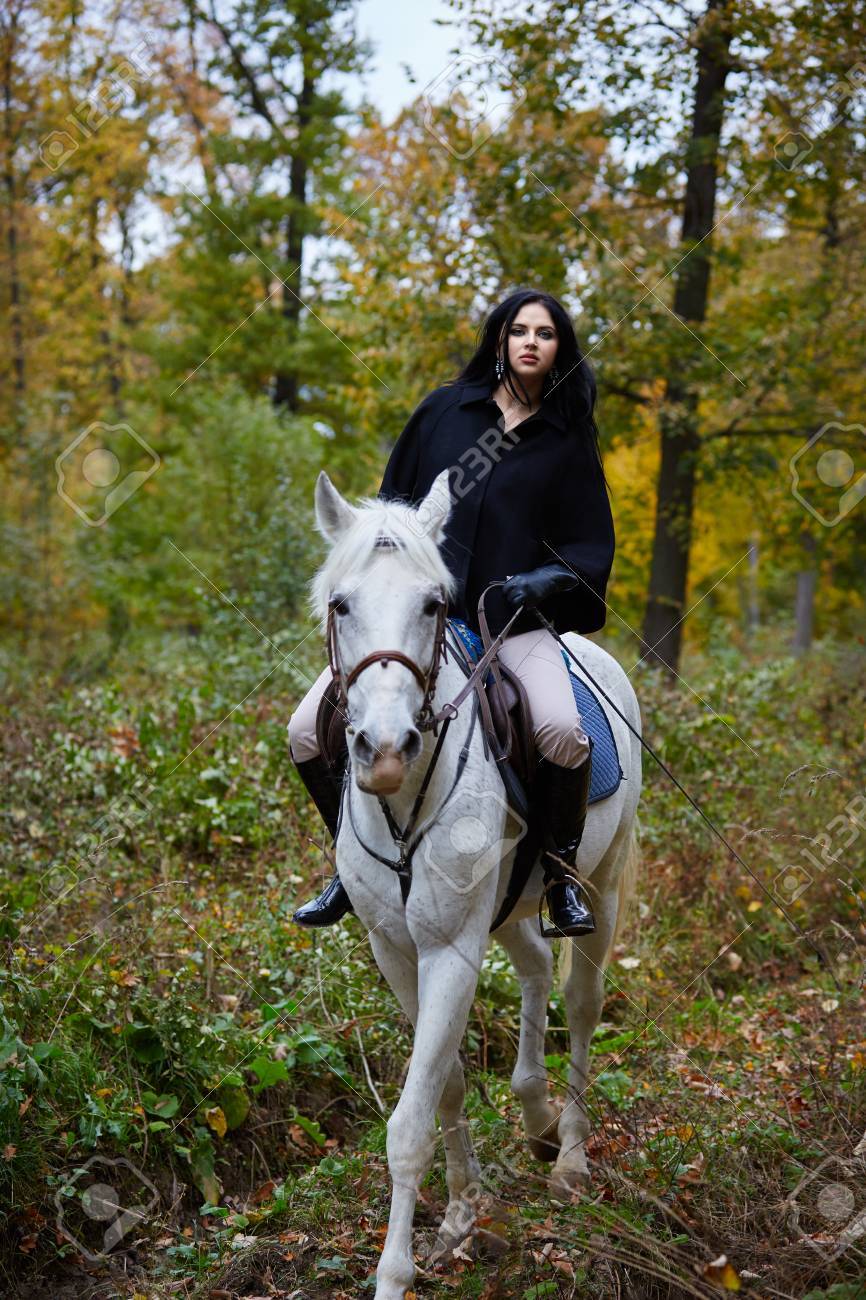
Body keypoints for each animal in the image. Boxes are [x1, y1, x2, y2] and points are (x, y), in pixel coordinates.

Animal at [306, 467, 637, 1300]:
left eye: (433, 603)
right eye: (341, 603)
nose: (386, 749)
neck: (402, 801)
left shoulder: (450, 949)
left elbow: (409, 1119)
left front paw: (395, 1273)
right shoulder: (396, 950)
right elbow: (447, 1083)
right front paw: (461, 1210)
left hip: (605, 883)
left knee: (580, 1001)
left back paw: (571, 1155)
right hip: (510, 908)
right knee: (536, 966)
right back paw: (536, 1117)